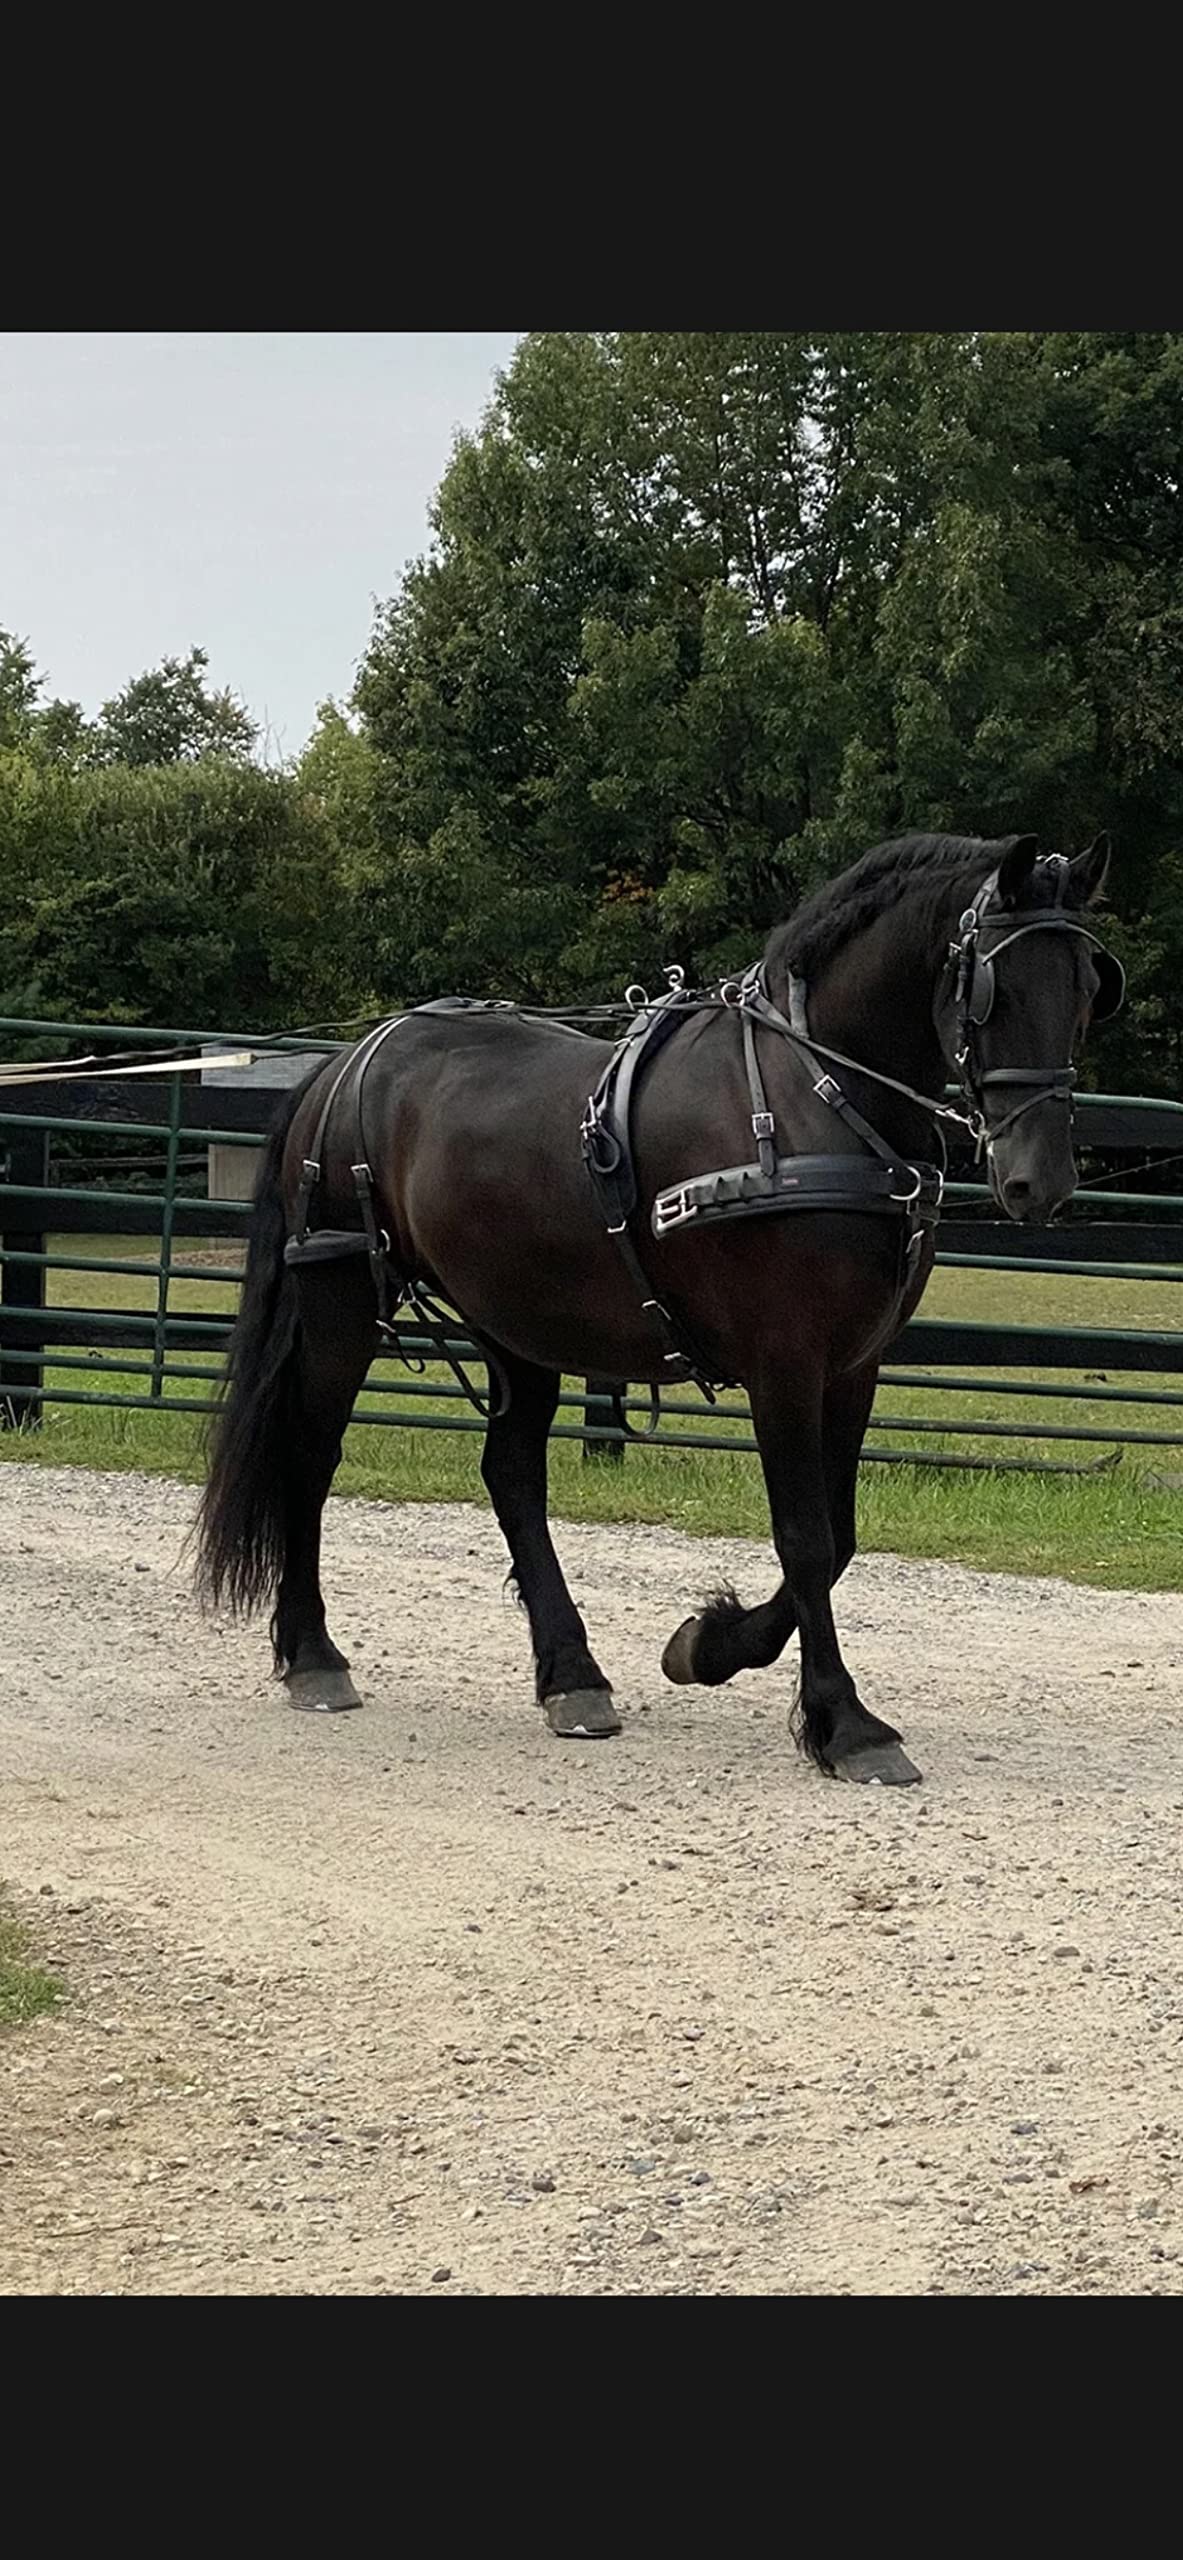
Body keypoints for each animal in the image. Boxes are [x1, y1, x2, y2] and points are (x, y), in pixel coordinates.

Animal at [195, 829, 1124, 1786]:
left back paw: (571, 1676)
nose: (1039, 1180)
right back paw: (314, 1657)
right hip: (342, 1307)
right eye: (990, 987)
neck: (813, 1097)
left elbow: (839, 1535)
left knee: (512, 1476)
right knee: (311, 1457)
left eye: (1089, 985)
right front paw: (844, 1722)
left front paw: (708, 1647)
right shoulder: (783, 1363)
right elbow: (806, 1536)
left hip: (517, 1323)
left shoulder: (853, 1365)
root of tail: (342, 1065)